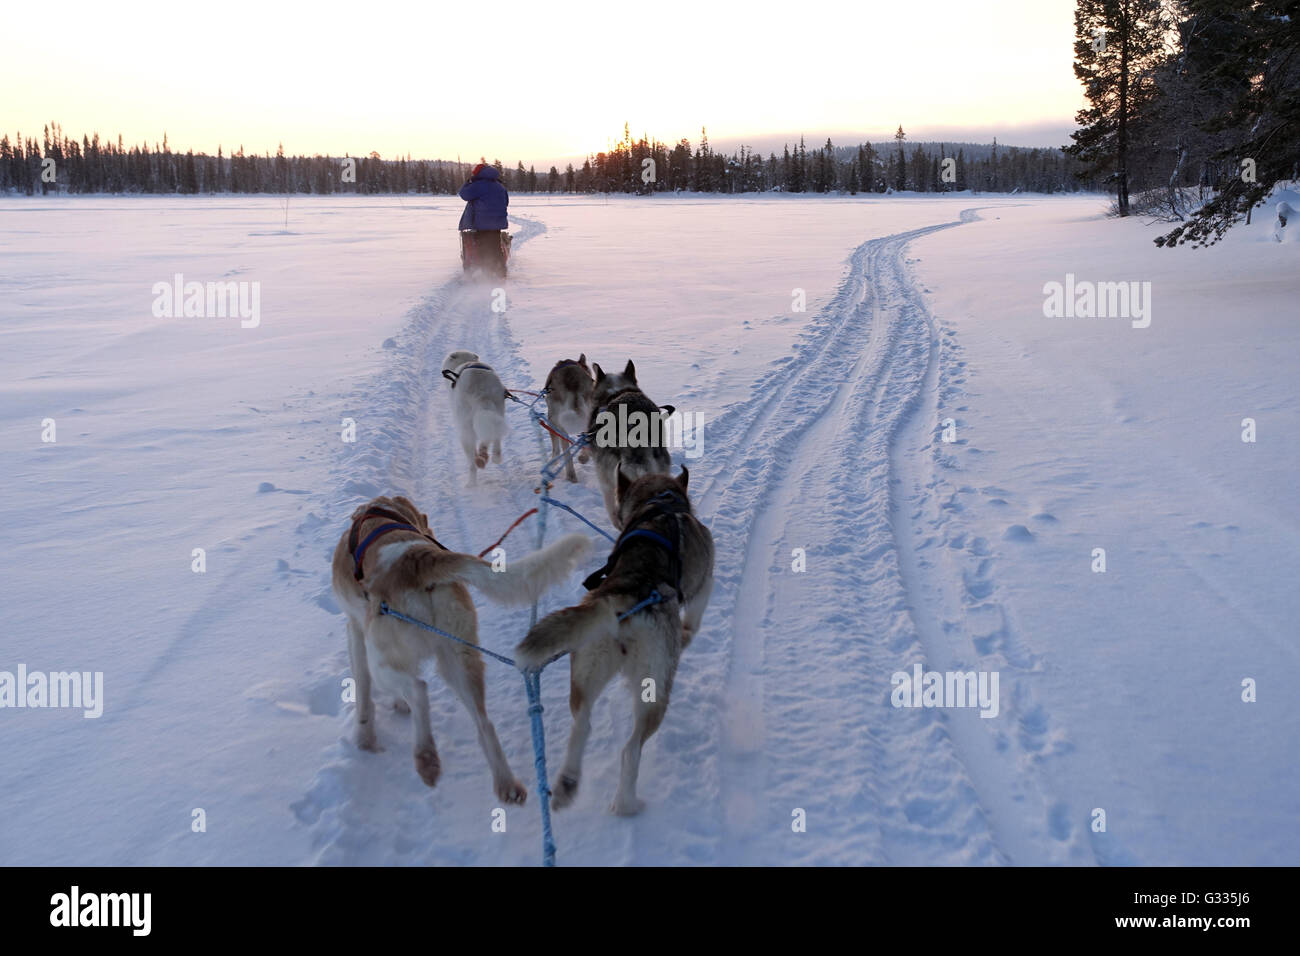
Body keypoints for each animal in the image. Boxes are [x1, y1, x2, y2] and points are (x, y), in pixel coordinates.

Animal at [330, 496, 590, 806]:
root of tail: (416, 557)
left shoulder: (355, 632)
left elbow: (363, 693)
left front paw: (364, 740)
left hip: (382, 659)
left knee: (419, 689)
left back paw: (426, 757)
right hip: (459, 661)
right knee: (484, 723)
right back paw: (506, 784)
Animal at [444, 351, 509, 486]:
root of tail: (480, 393)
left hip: (465, 427)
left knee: (472, 462)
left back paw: (472, 481)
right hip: (498, 411)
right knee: (494, 437)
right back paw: (492, 456)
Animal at [512, 465, 712, 816]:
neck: (660, 504)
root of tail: (624, 597)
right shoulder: (703, 587)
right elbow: (693, 623)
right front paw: (687, 637)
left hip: (585, 671)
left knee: (582, 724)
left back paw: (567, 784)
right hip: (654, 693)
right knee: (630, 750)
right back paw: (627, 804)